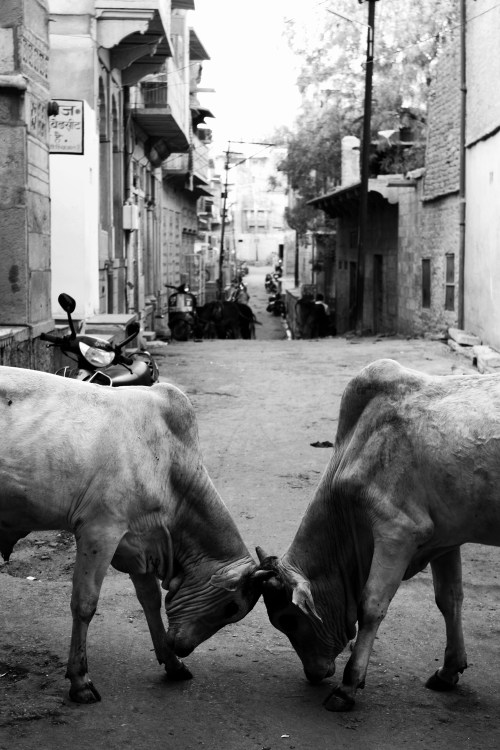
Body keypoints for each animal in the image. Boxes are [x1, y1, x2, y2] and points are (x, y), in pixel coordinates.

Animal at [0, 366, 265, 703]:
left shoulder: (139, 542)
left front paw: (173, 663)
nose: (183, 647)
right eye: (232, 608)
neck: (168, 464)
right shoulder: (100, 530)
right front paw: (80, 680)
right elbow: (84, 604)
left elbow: (150, 599)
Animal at [256, 358, 500, 711]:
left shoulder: (398, 531)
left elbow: (371, 606)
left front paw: (348, 686)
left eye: (286, 619)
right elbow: (449, 598)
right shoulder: (445, 538)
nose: (314, 674)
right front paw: (448, 671)